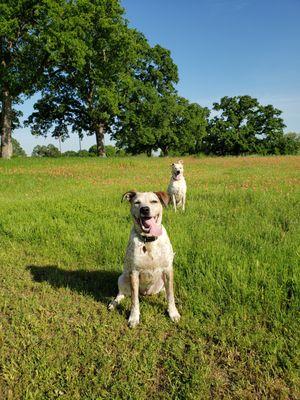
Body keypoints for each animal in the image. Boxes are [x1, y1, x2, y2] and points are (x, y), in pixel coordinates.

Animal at [109, 191, 182, 328]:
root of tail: (146, 293)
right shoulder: (134, 273)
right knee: (121, 294)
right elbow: (134, 300)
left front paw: (173, 313)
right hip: (122, 278)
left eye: (154, 201)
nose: (145, 209)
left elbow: (170, 295)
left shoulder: (168, 270)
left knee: (165, 290)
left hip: (161, 282)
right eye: (137, 202)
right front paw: (133, 317)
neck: (148, 241)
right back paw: (113, 303)